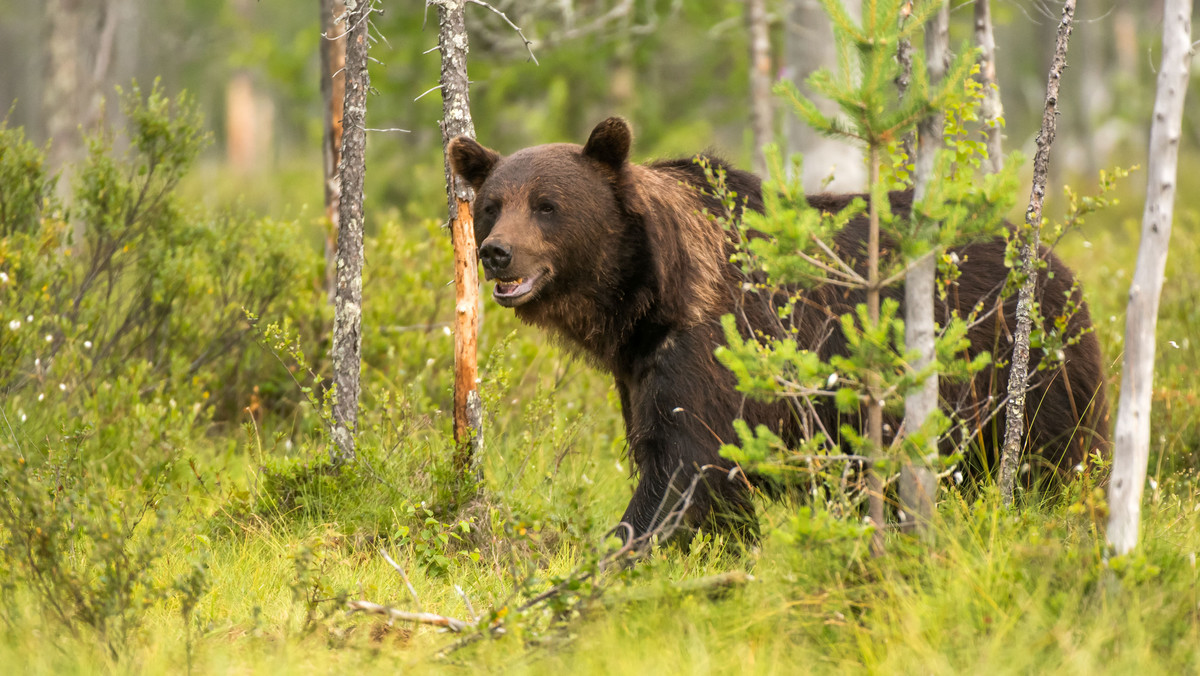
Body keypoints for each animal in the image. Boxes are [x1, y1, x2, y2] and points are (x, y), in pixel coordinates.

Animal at [448, 116, 1104, 540]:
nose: (496, 252)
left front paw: (620, 550)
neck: (647, 295)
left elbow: (680, 470)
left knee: (1056, 459)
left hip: (1028, 374)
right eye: (493, 204)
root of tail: (1054, 262)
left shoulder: (716, 347)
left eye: (547, 205)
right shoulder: (640, 367)